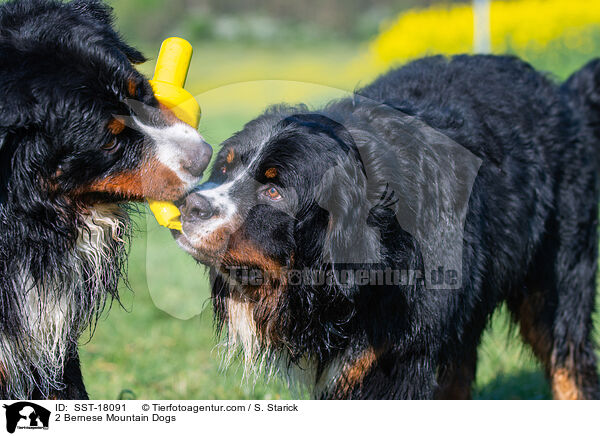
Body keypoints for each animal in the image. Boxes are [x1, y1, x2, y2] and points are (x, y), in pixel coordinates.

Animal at [176, 53, 600, 398]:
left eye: (275, 189)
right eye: (225, 168)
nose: (191, 205)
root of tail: (561, 97)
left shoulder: (395, 355)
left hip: (557, 280)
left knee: (568, 360)